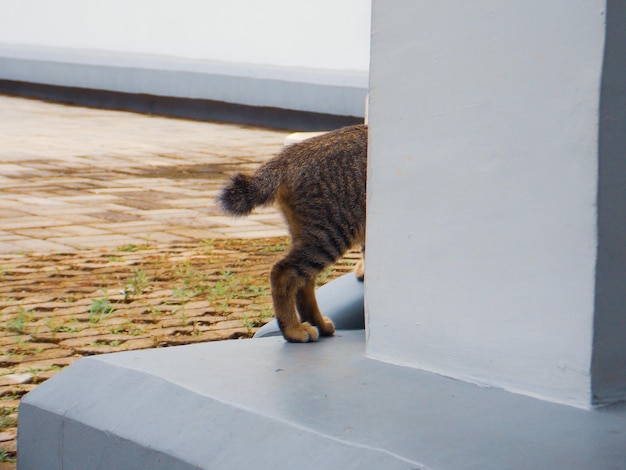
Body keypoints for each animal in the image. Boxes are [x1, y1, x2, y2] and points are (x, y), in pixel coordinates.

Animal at [218, 125, 366, 344]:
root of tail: (288, 155)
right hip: (330, 233)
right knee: (283, 273)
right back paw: (292, 329)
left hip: (314, 235)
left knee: (304, 282)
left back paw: (318, 324)